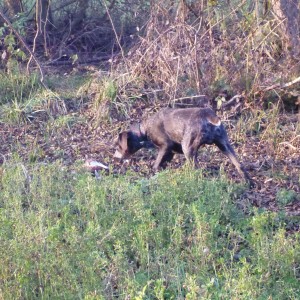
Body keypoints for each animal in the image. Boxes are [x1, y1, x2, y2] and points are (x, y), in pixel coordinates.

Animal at [113, 105, 252, 185]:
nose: (114, 158)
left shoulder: (165, 146)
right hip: (224, 145)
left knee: (196, 169)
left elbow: (156, 164)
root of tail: (209, 116)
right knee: (239, 165)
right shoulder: (170, 152)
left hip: (188, 148)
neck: (144, 130)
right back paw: (248, 183)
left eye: (118, 146)